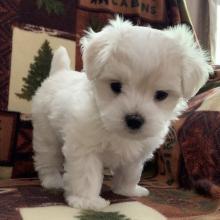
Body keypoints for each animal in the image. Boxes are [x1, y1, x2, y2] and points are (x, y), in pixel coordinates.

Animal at [31, 16, 212, 209]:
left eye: (161, 95)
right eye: (115, 86)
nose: (134, 119)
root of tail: (59, 73)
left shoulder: (137, 154)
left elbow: (130, 173)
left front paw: (127, 190)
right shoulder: (85, 147)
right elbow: (86, 175)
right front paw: (87, 201)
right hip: (46, 133)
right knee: (47, 158)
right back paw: (52, 180)